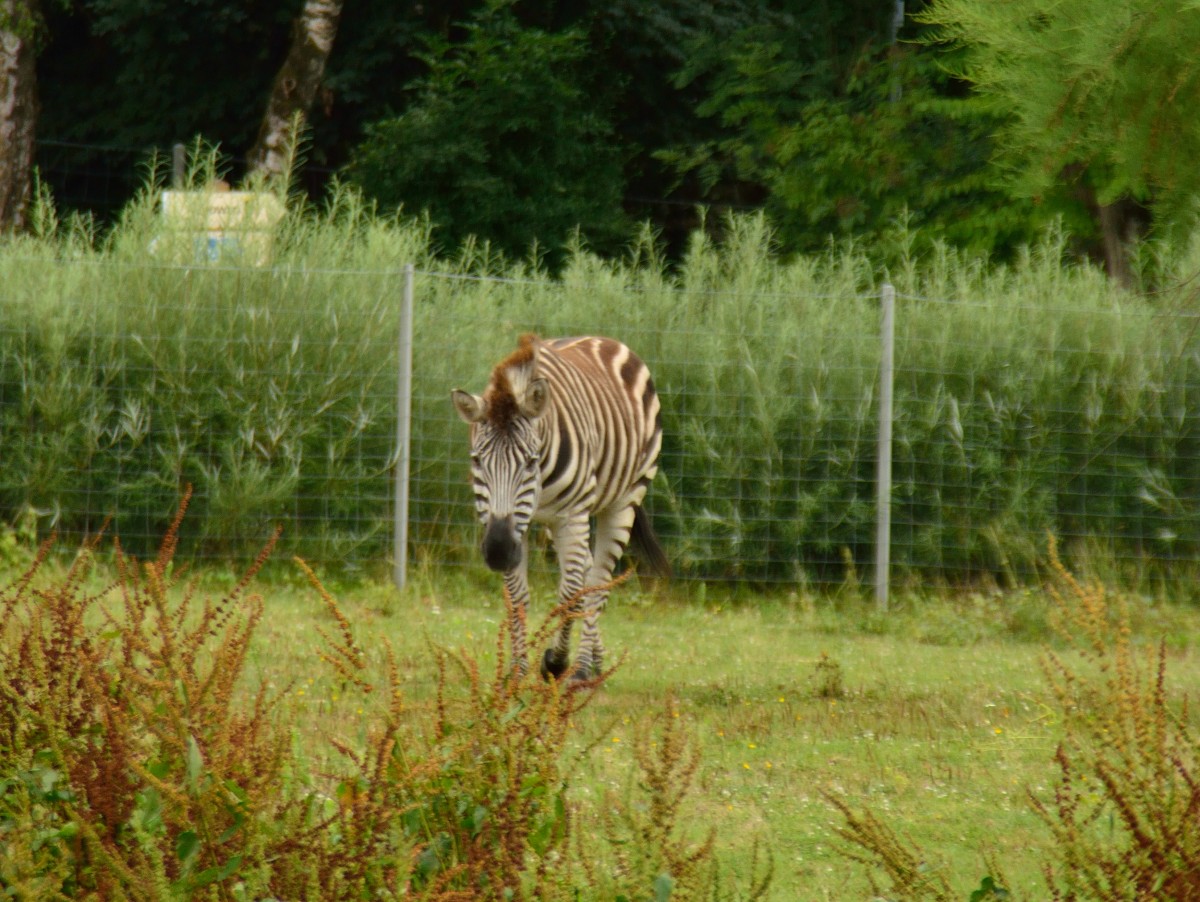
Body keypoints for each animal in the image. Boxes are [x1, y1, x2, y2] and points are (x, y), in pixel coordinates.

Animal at [453, 335, 672, 681]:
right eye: (477, 460)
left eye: (530, 461)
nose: (498, 552)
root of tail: (603, 338)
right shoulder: (507, 523)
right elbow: (518, 597)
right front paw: (517, 670)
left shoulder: (570, 517)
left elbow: (569, 594)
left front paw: (555, 662)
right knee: (585, 572)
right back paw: (594, 658)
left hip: (623, 501)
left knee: (596, 582)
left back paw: (581, 668)